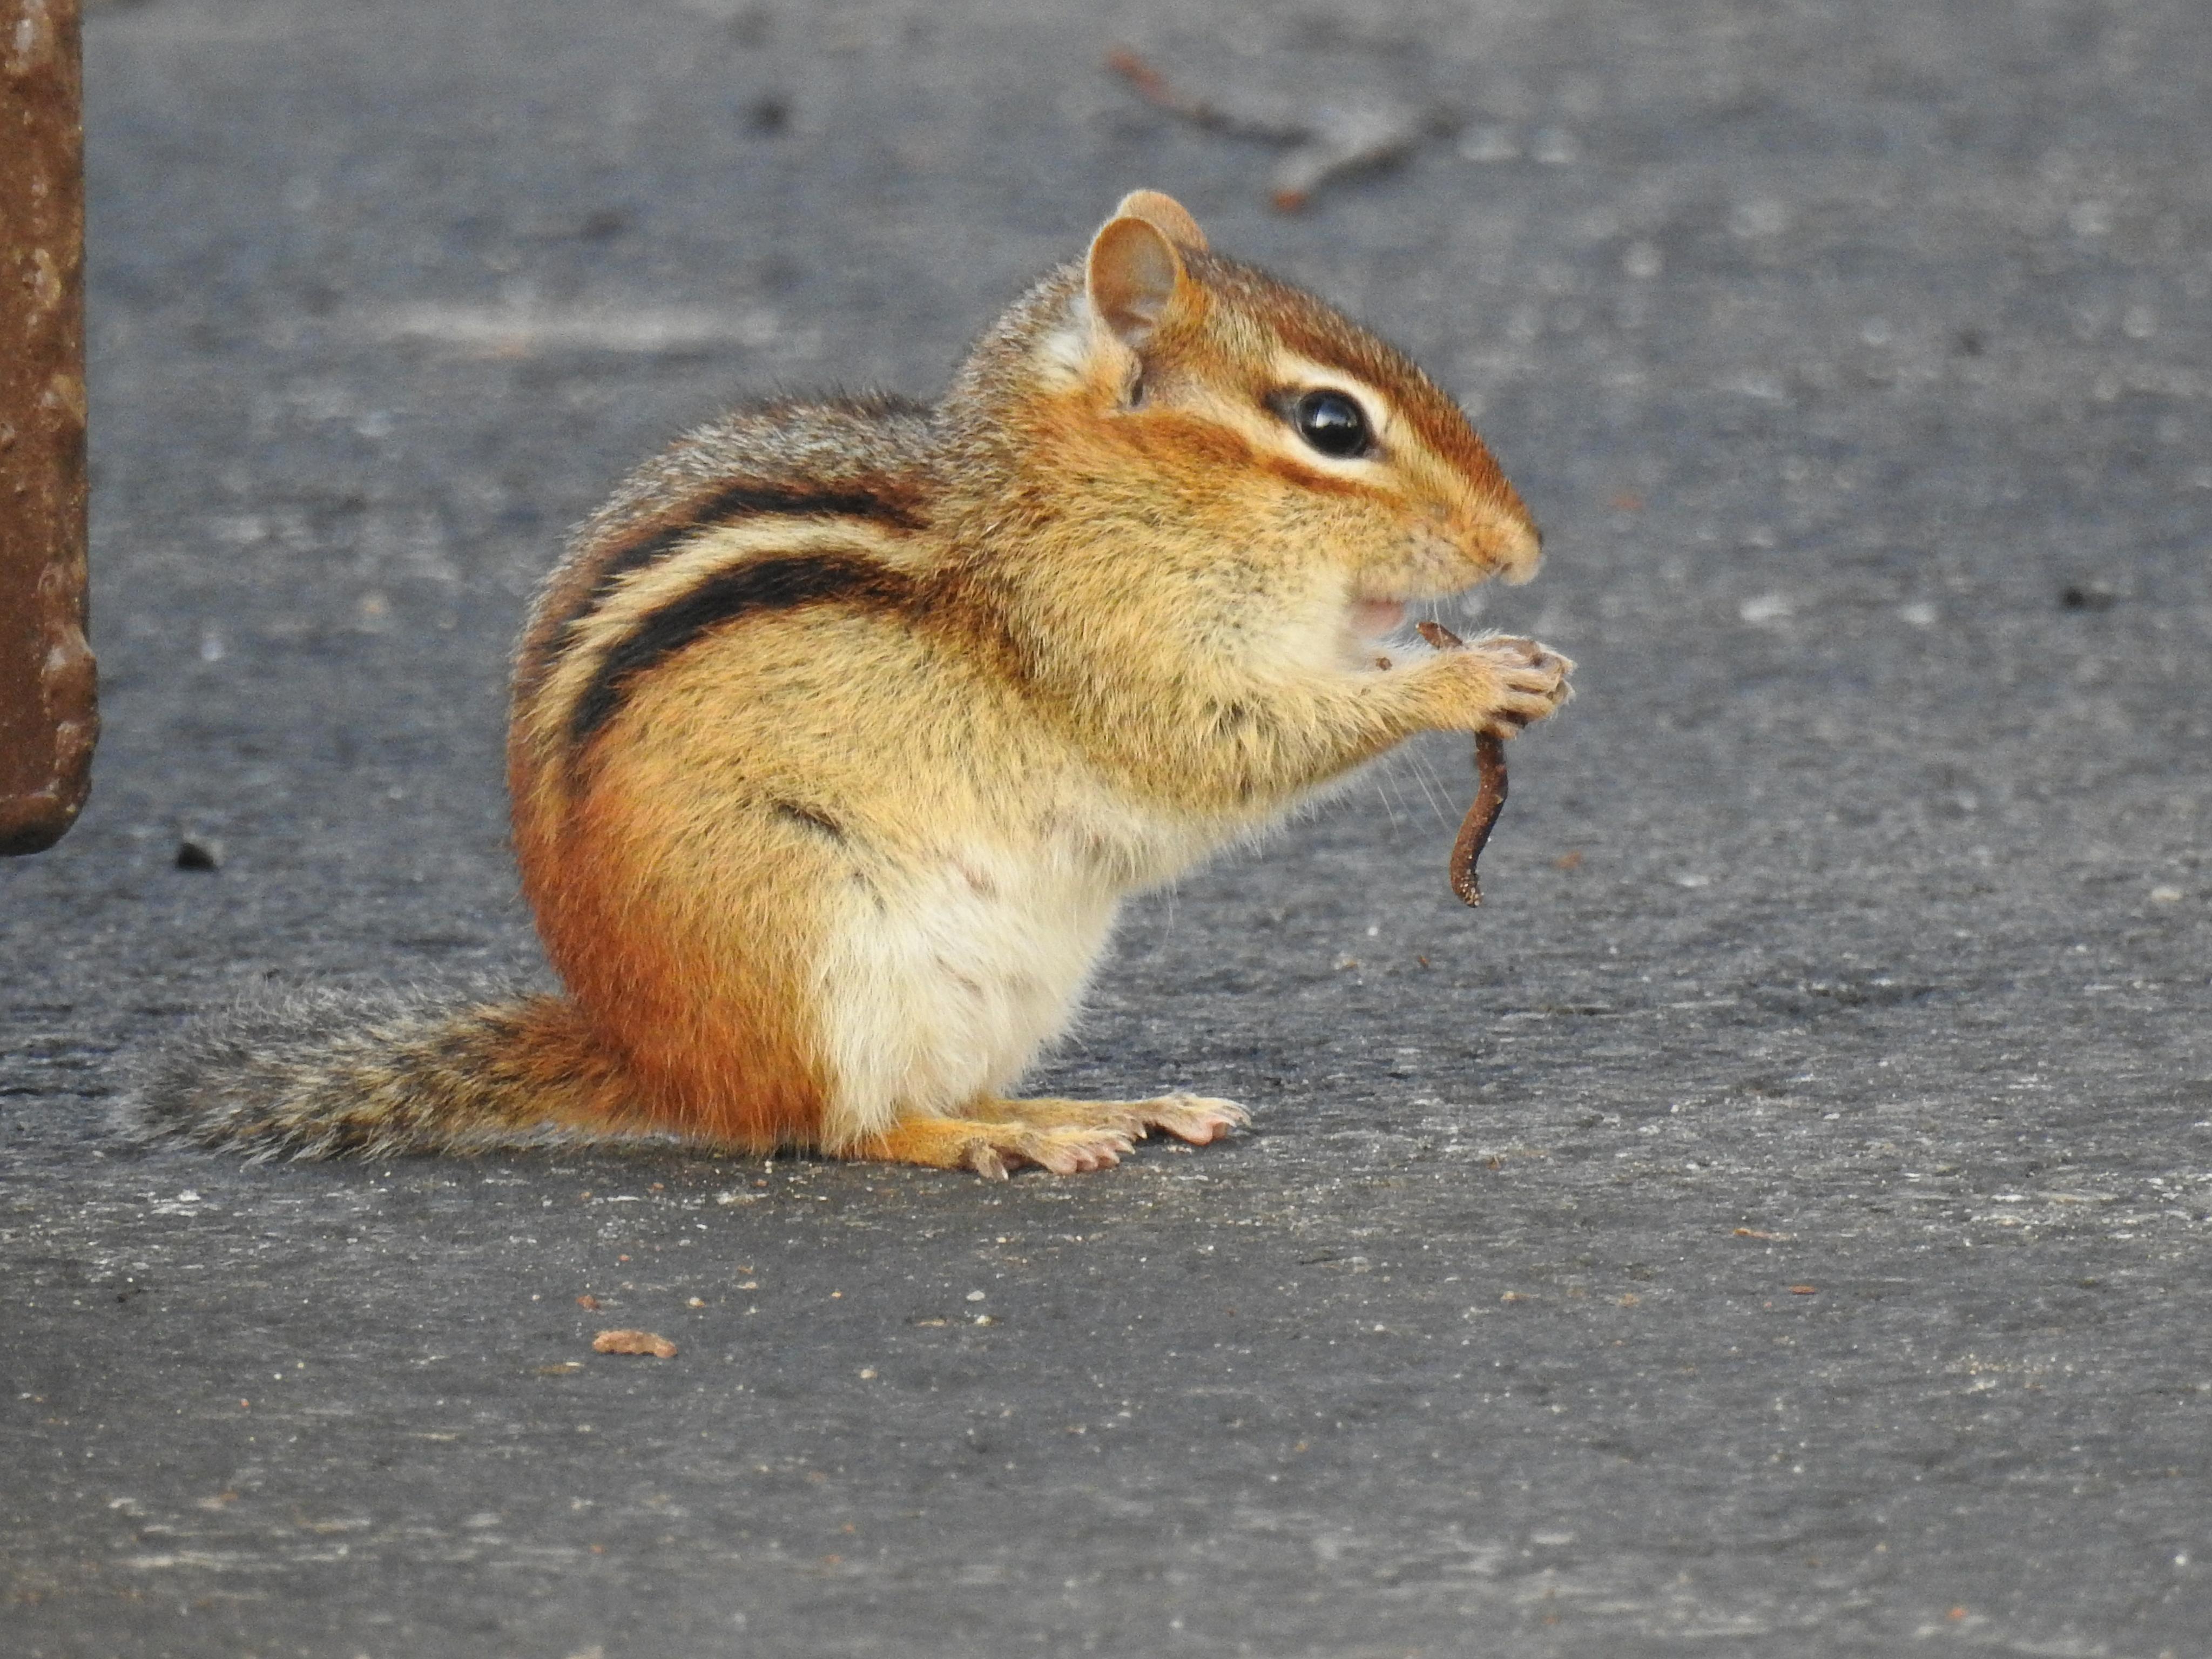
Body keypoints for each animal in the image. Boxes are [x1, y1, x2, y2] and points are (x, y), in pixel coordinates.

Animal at [143, 190, 1573, 1178]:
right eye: (1331, 426)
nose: (1523, 551)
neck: (1066, 507)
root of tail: (654, 1054)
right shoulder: (1108, 650)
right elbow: (1230, 741)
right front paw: (1468, 679)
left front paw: (1516, 659)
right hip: (811, 943)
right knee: (847, 1126)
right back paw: (999, 1142)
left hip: (1016, 974)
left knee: (948, 1084)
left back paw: (1095, 1106)